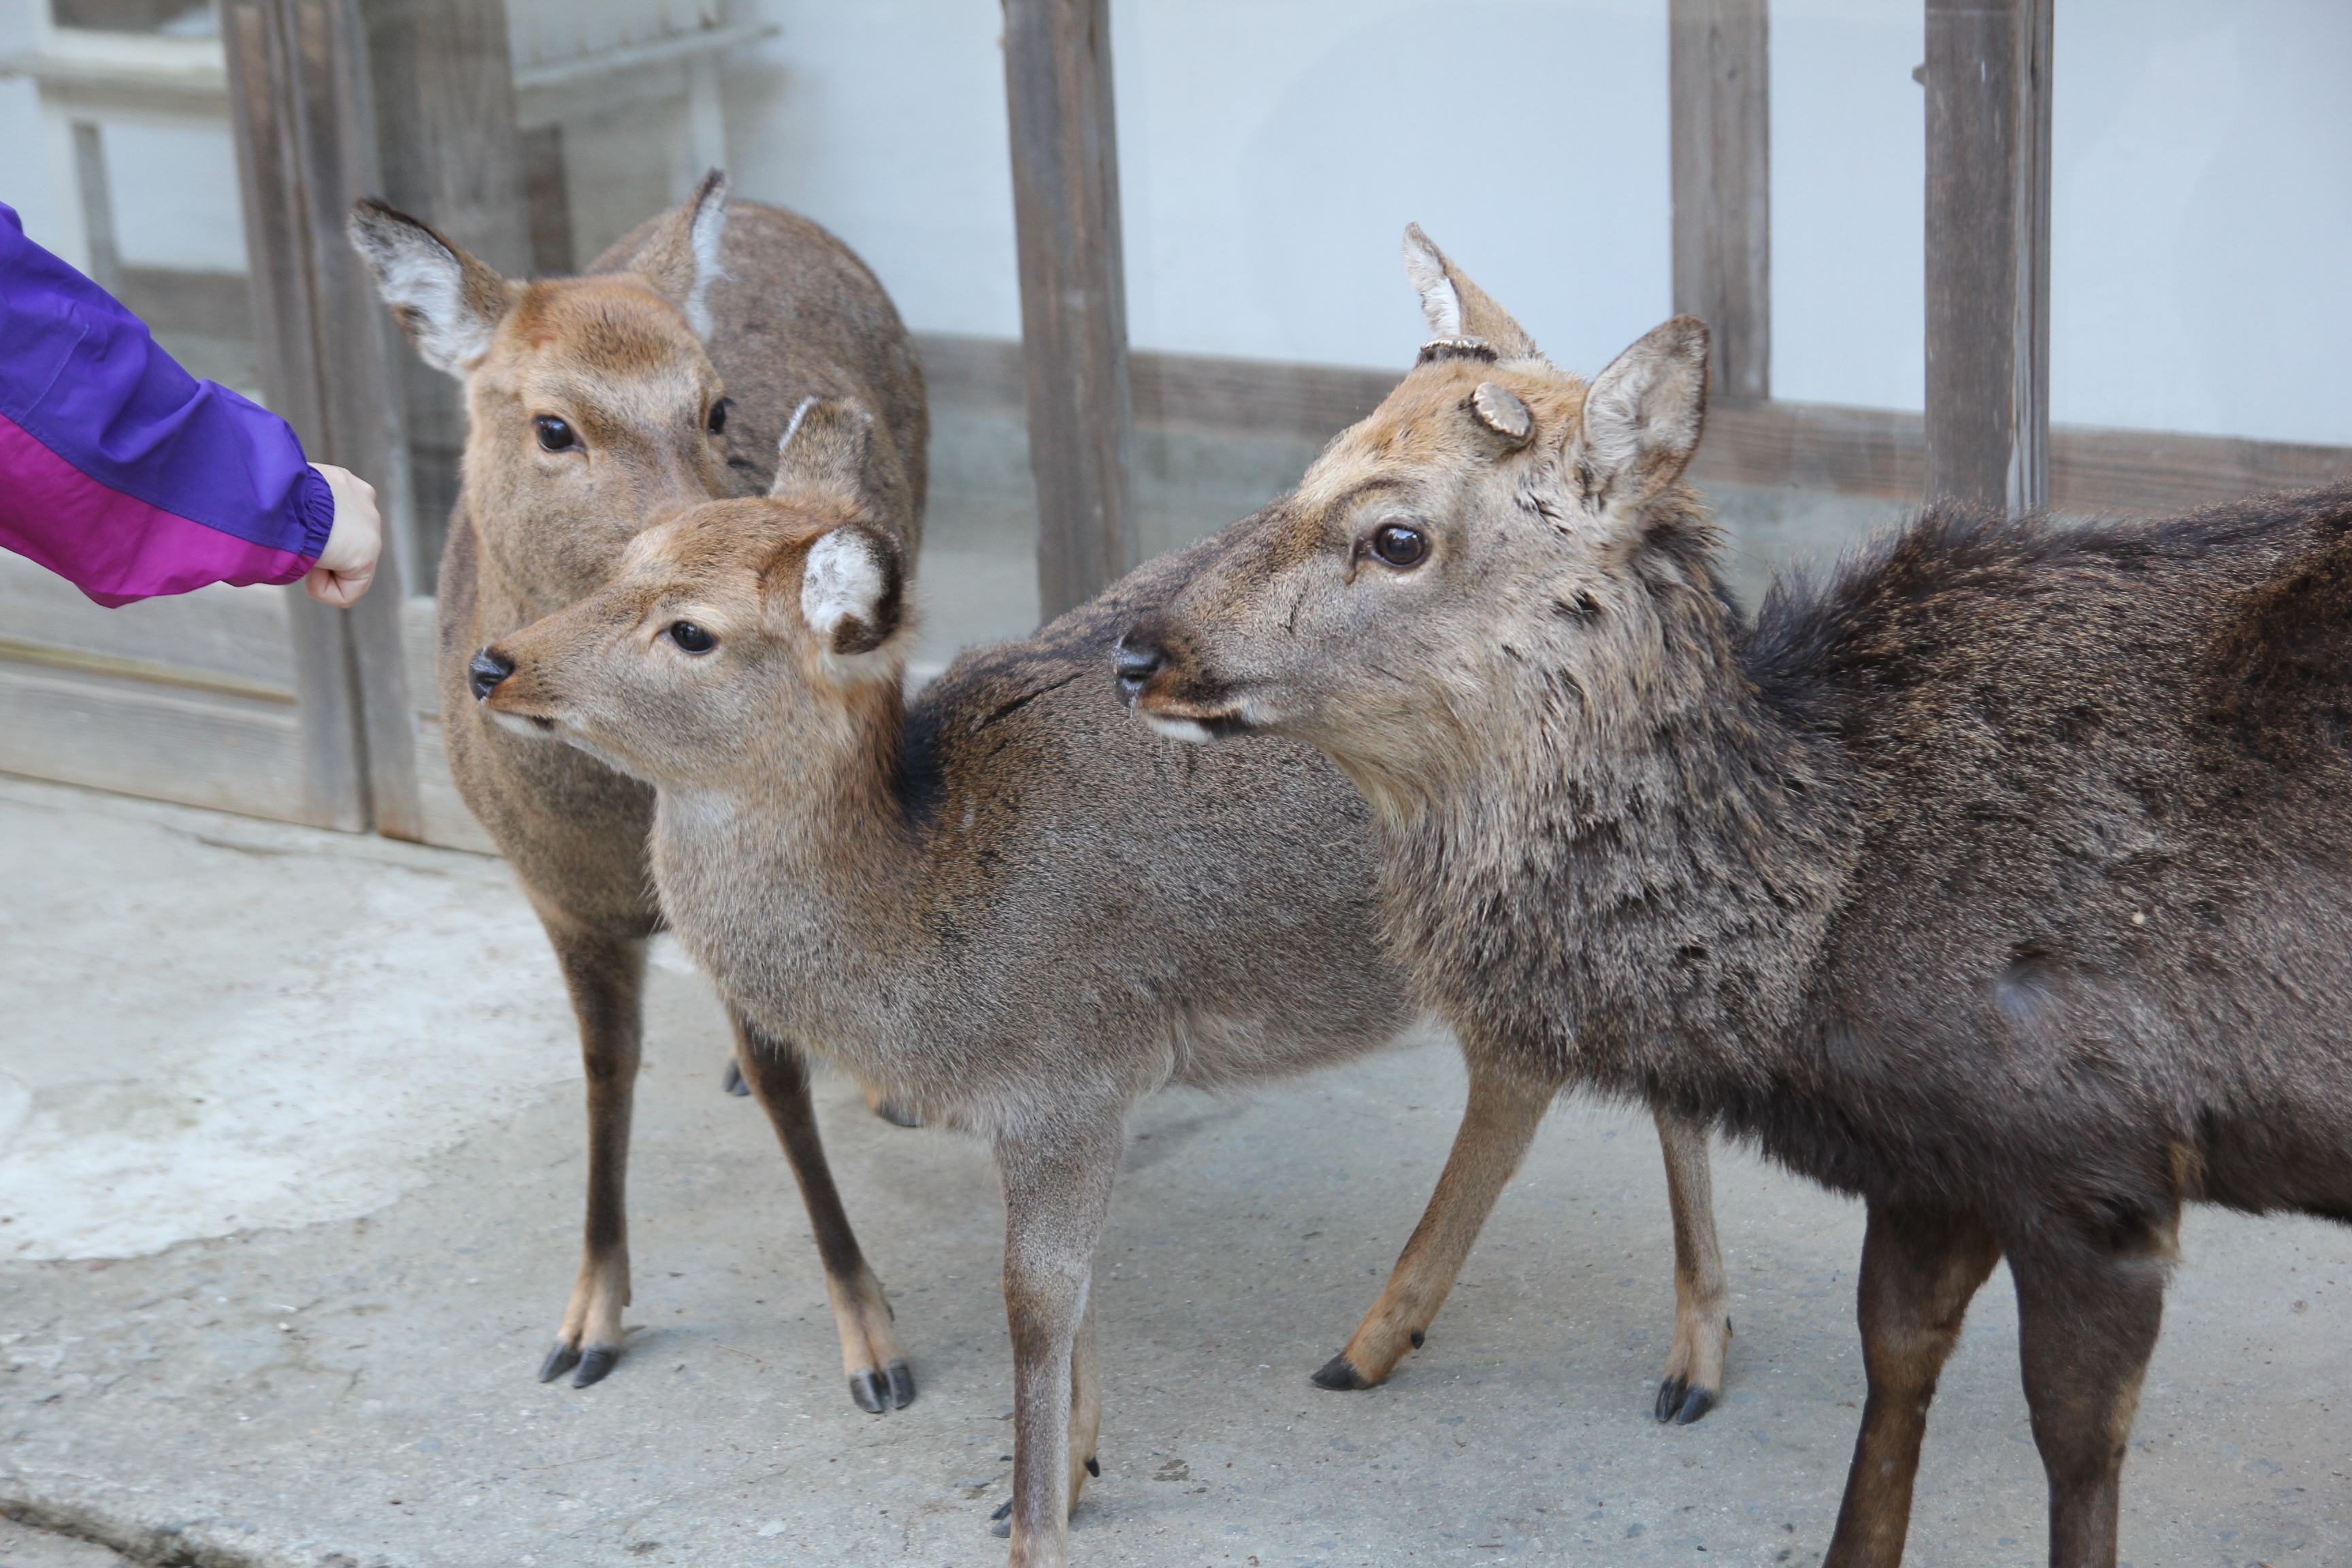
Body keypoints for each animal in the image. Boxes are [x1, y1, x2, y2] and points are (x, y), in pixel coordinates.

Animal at [346, 173, 931, 1407]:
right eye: (552, 424)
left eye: (715, 407)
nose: (693, 540)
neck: (618, 833)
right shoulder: (554, 900)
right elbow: (603, 1075)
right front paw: (586, 1321)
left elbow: (780, 1079)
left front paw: (873, 1344)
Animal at [464, 394, 1735, 1566]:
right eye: (628, 557)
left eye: (691, 631)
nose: (491, 662)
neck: (919, 920)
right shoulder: (1056, 1095)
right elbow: (1070, 1287)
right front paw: (1071, 1470)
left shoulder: (1067, 1071)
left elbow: (1036, 1295)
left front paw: (1036, 1521)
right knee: (1515, 1073)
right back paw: (1370, 1344)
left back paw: (1695, 1363)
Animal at [1116, 224, 2352, 1568]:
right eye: (1309, 469)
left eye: (1395, 535)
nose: (1137, 649)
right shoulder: (1937, 1160)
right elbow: (1893, 1370)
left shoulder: (2094, 1156)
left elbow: (2075, 1451)